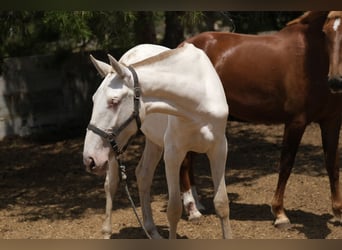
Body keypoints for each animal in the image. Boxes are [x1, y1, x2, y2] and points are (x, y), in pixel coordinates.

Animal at [83, 42, 232, 238]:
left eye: (114, 101)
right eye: (93, 99)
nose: (89, 159)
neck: (198, 101)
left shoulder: (219, 149)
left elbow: (222, 203)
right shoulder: (172, 155)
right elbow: (174, 210)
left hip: (152, 142)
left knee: (143, 174)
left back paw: (151, 231)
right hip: (117, 145)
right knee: (111, 183)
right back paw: (107, 231)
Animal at [179, 10, 342, 228]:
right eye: (325, 33)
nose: (336, 81)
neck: (311, 59)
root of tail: (184, 45)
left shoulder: (332, 122)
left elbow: (332, 165)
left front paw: (338, 212)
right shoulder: (296, 122)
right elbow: (286, 165)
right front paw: (280, 214)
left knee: (190, 159)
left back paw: (198, 204)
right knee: (184, 161)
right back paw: (192, 210)